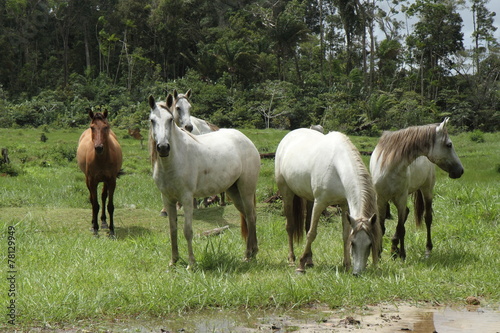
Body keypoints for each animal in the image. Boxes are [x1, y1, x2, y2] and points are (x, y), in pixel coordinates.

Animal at [146, 94, 260, 268]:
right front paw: (173, 261)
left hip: (246, 189)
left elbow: (187, 230)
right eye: (152, 120)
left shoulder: (186, 198)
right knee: (247, 216)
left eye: (170, 120)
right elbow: (173, 229)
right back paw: (252, 252)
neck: (174, 160)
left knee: (251, 216)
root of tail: (247, 141)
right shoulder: (167, 199)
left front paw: (191, 264)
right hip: (234, 191)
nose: (163, 147)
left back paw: (248, 255)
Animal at [276, 128, 380, 274]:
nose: (357, 273)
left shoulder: (345, 205)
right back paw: (292, 259)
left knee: (306, 225)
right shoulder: (320, 203)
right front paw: (300, 266)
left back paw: (309, 260)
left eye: (370, 244)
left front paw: (347, 265)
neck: (337, 166)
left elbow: (345, 234)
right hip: (287, 193)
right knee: (290, 226)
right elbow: (312, 234)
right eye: (353, 243)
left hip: (310, 199)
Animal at [368, 117, 464, 260]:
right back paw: (394, 248)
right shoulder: (380, 199)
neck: (388, 166)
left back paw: (427, 249)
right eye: (449, 145)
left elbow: (401, 228)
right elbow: (381, 227)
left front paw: (402, 255)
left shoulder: (401, 198)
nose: (460, 171)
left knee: (427, 218)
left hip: (427, 190)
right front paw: (378, 255)